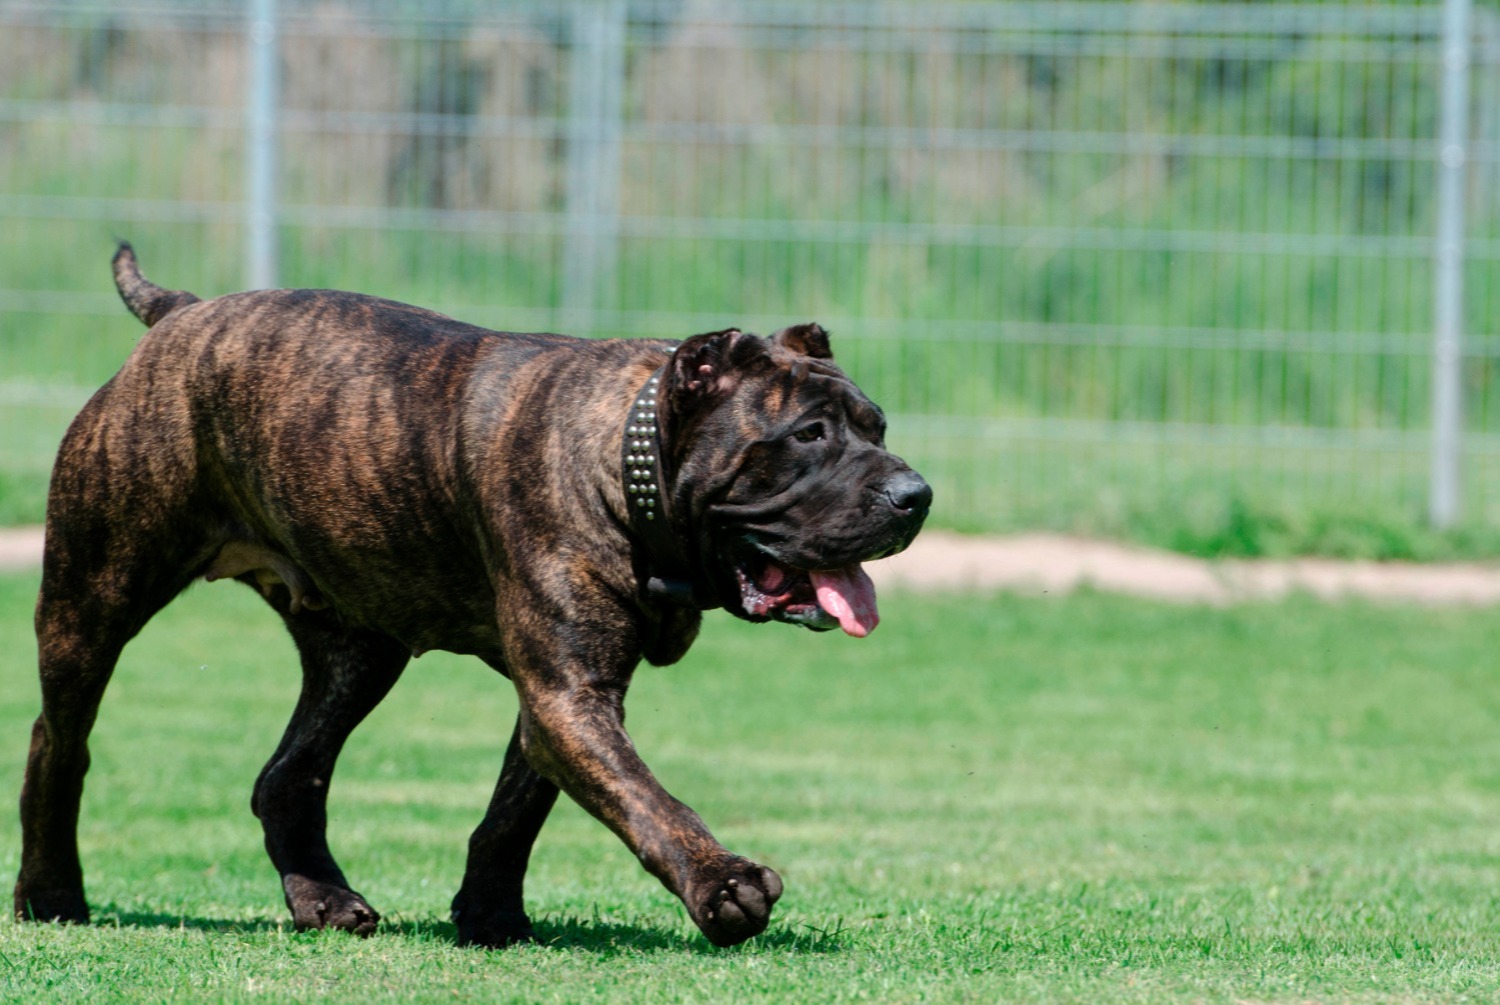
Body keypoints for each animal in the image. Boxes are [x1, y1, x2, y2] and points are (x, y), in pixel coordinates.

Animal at [11, 241, 930, 948]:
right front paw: (721, 882)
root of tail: (180, 314)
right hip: (93, 598)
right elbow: (645, 797)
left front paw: (489, 914)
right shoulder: (568, 693)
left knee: (289, 774)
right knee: (59, 741)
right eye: (807, 434)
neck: (627, 463)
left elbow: (516, 809)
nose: (914, 494)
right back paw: (50, 894)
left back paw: (324, 898)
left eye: (877, 426)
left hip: (358, 650)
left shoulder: (562, 695)